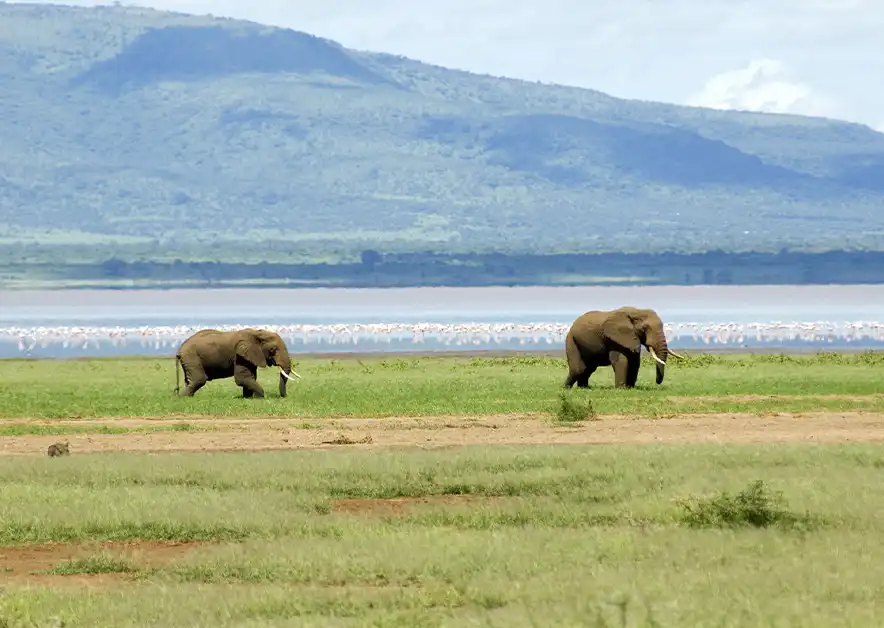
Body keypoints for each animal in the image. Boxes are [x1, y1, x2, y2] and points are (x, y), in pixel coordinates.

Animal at [174, 328, 302, 398]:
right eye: (272, 350)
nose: (285, 397)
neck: (257, 333)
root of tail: (179, 350)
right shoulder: (240, 355)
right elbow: (242, 378)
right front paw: (260, 397)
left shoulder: (249, 356)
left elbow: (250, 377)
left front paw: (248, 398)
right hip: (191, 357)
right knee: (199, 379)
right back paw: (182, 398)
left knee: (190, 380)